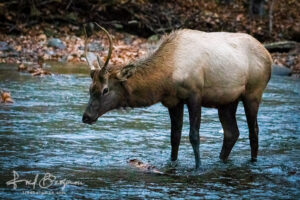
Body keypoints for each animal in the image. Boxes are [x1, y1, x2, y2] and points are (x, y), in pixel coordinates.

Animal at [81, 22, 272, 168]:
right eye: (90, 88)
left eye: (105, 89)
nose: (86, 116)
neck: (167, 77)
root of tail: (268, 56)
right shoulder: (173, 101)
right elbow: (174, 136)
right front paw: (172, 163)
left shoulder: (195, 94)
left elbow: (194, 136)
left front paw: (198, 166)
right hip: (226, 102)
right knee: (232, 132)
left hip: (253, 93)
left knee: (253, 131)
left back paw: (253, 162)